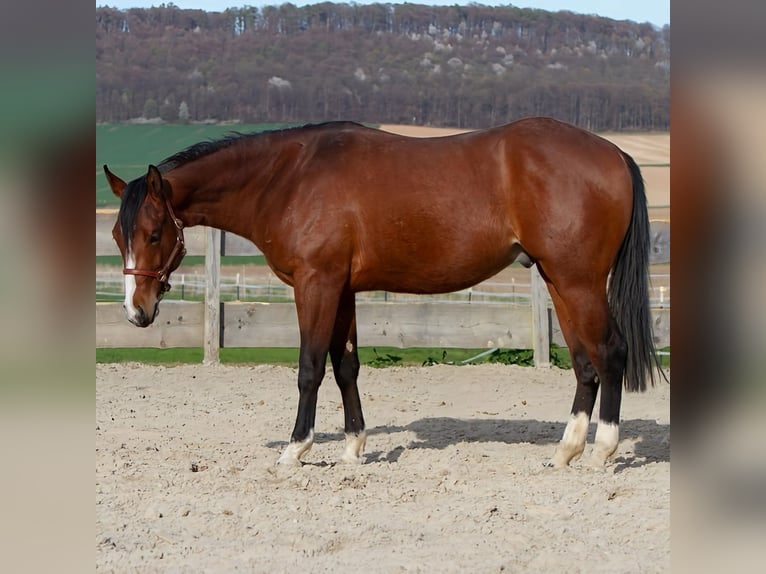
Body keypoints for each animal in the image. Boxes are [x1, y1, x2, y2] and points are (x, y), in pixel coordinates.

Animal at [104, 117, 663, 468]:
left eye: (153, 233)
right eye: (116, 234)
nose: (136, 311)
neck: (288, 178)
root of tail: (614, 152)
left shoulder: (316, 284)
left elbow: (310, 368)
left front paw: (295, 449)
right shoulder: (342, 289)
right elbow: (346, 366)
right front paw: (353, 448)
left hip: (578, 281)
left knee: (611, 353)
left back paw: (602, 452)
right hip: (559, 281)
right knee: (585, 363)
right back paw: (565, 451)